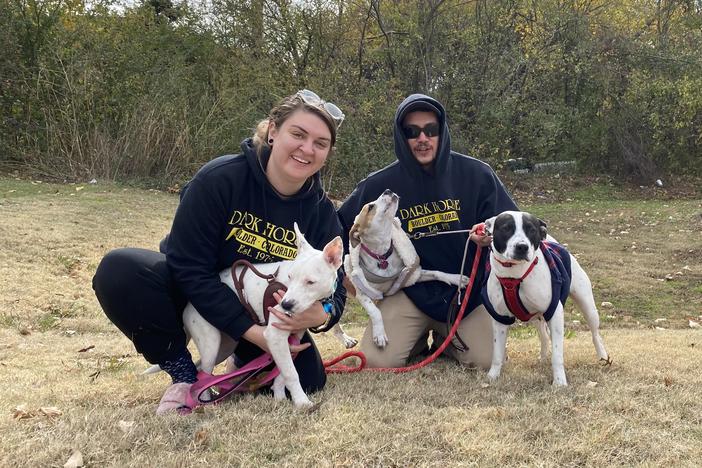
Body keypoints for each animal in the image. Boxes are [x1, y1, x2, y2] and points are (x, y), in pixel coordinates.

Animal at [346, 190, 470, 348]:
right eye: (370, 207)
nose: (387, 190)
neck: (382, 255)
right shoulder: (362, 292)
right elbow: (375, 311)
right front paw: (379, 334)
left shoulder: (412, 275)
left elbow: (436, 273)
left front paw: (456, 279)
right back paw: (346, 340)